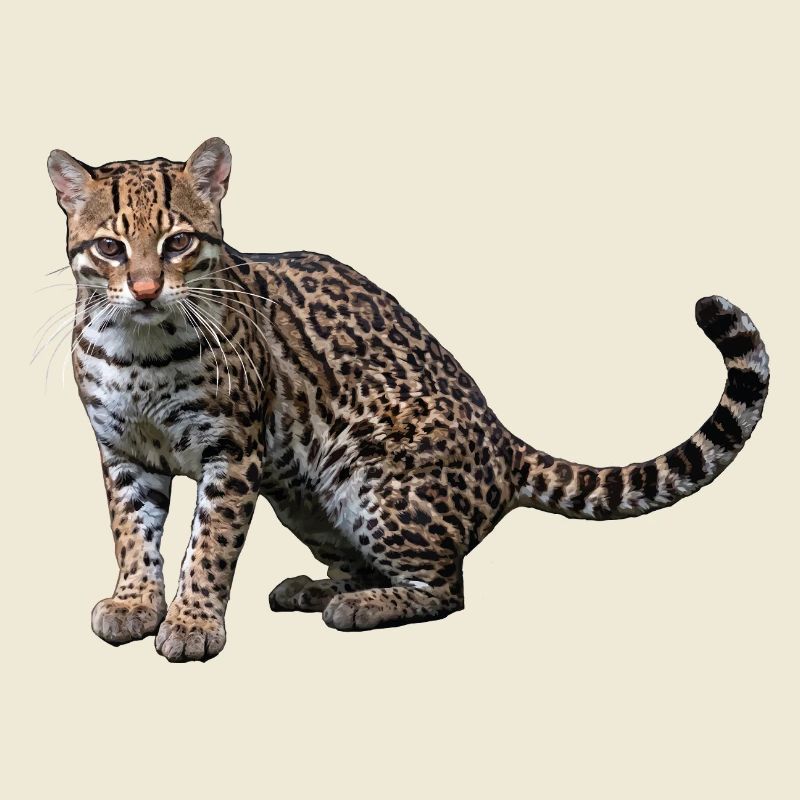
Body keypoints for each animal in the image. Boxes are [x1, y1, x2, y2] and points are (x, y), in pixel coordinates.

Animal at [45, 137, 770, 662]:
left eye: (178, 243)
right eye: (110, 247)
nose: (144, 289)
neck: (139, 347)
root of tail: (506, 443)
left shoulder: (232, 450)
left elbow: (210, 545)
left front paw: (194, 621)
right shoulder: (121, 452)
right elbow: (132, 533)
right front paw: (135, 603)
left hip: (369, 484)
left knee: (448, 588)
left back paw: (360, 607)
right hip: (305, 500)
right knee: (364, 565)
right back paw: (318, 588)